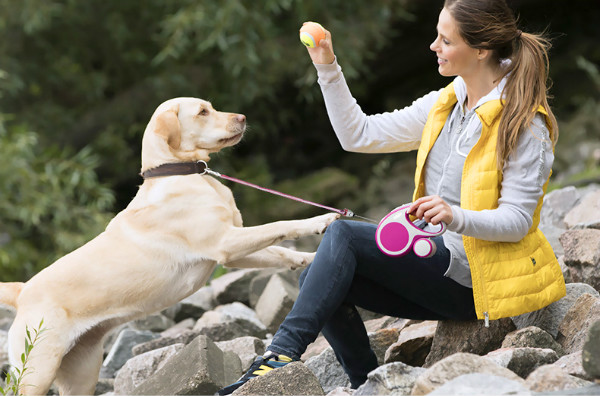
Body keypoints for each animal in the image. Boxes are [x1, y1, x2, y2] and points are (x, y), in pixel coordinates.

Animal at [0, 97, 338, 394]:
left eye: (212, 106)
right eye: (202, 112)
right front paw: (319, 220)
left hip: (82, 372)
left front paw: (312, 258)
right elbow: (279, 226)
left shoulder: (231, 252)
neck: (183, 173)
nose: (243, 117)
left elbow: (280, 250)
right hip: (37, 371)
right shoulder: (225, 242)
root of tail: (22, 290)